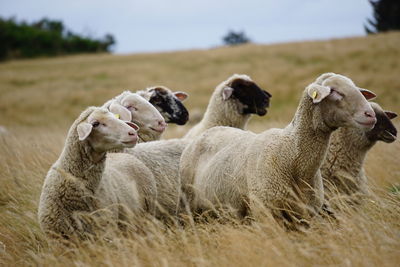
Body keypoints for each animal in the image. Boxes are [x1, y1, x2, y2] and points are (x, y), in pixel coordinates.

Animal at [181, 73, 378, 228]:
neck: (289, 152)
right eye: (334, 91)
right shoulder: (267, 213)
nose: (371, 115)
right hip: (192, 209)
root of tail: (210, 130)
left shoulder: (305, 215)